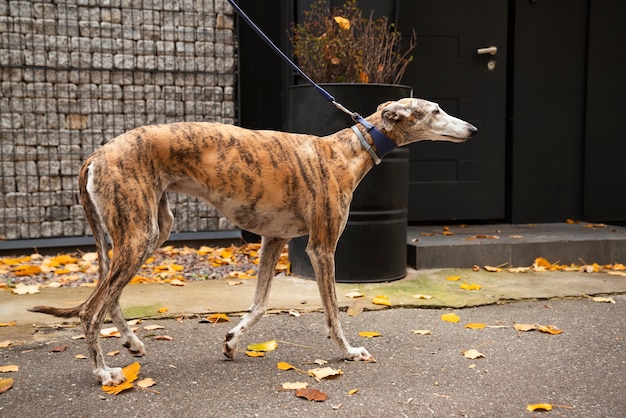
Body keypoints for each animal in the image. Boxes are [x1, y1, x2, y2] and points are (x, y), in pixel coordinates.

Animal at [29, 98, 476, 386]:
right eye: (436, 110)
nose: (473, 129)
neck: (346, 151)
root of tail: (97, 154)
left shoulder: (273, 238)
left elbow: (260, 304)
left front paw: (232, 341)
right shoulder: (321, 248)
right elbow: (333, 313)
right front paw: (349, 352)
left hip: (151, 231)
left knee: (108, 297)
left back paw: (132, 342)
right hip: (138, 236)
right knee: (90, 310)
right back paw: (103, 372)